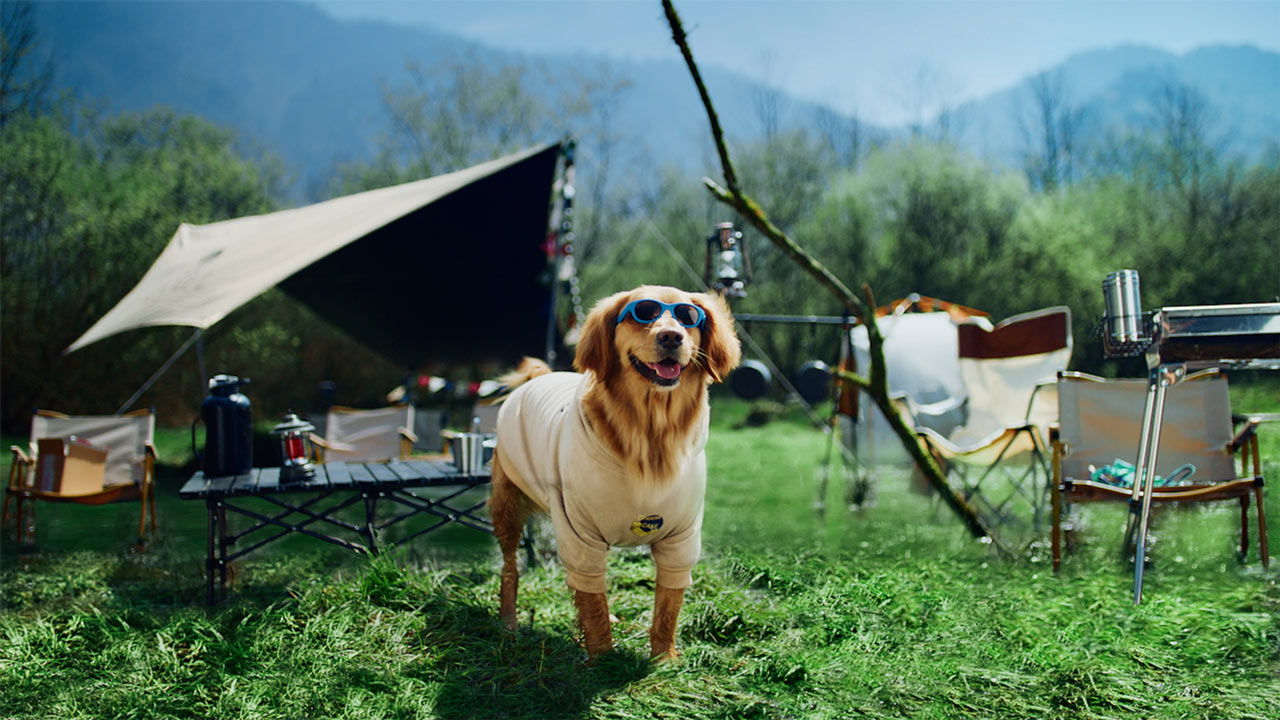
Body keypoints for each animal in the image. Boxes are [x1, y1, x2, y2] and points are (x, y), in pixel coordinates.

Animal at [488, 283, 747, 661]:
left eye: (688, 317)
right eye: (644, 313)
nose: (672, 337)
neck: (650, 433)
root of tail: (540, 376)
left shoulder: (681, 536)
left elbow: (666, 605)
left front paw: (664, 658)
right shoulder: (578, 532)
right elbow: (593, 603)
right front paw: (603, 659)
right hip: (506, 507)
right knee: (511, 568)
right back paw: (508, 621)